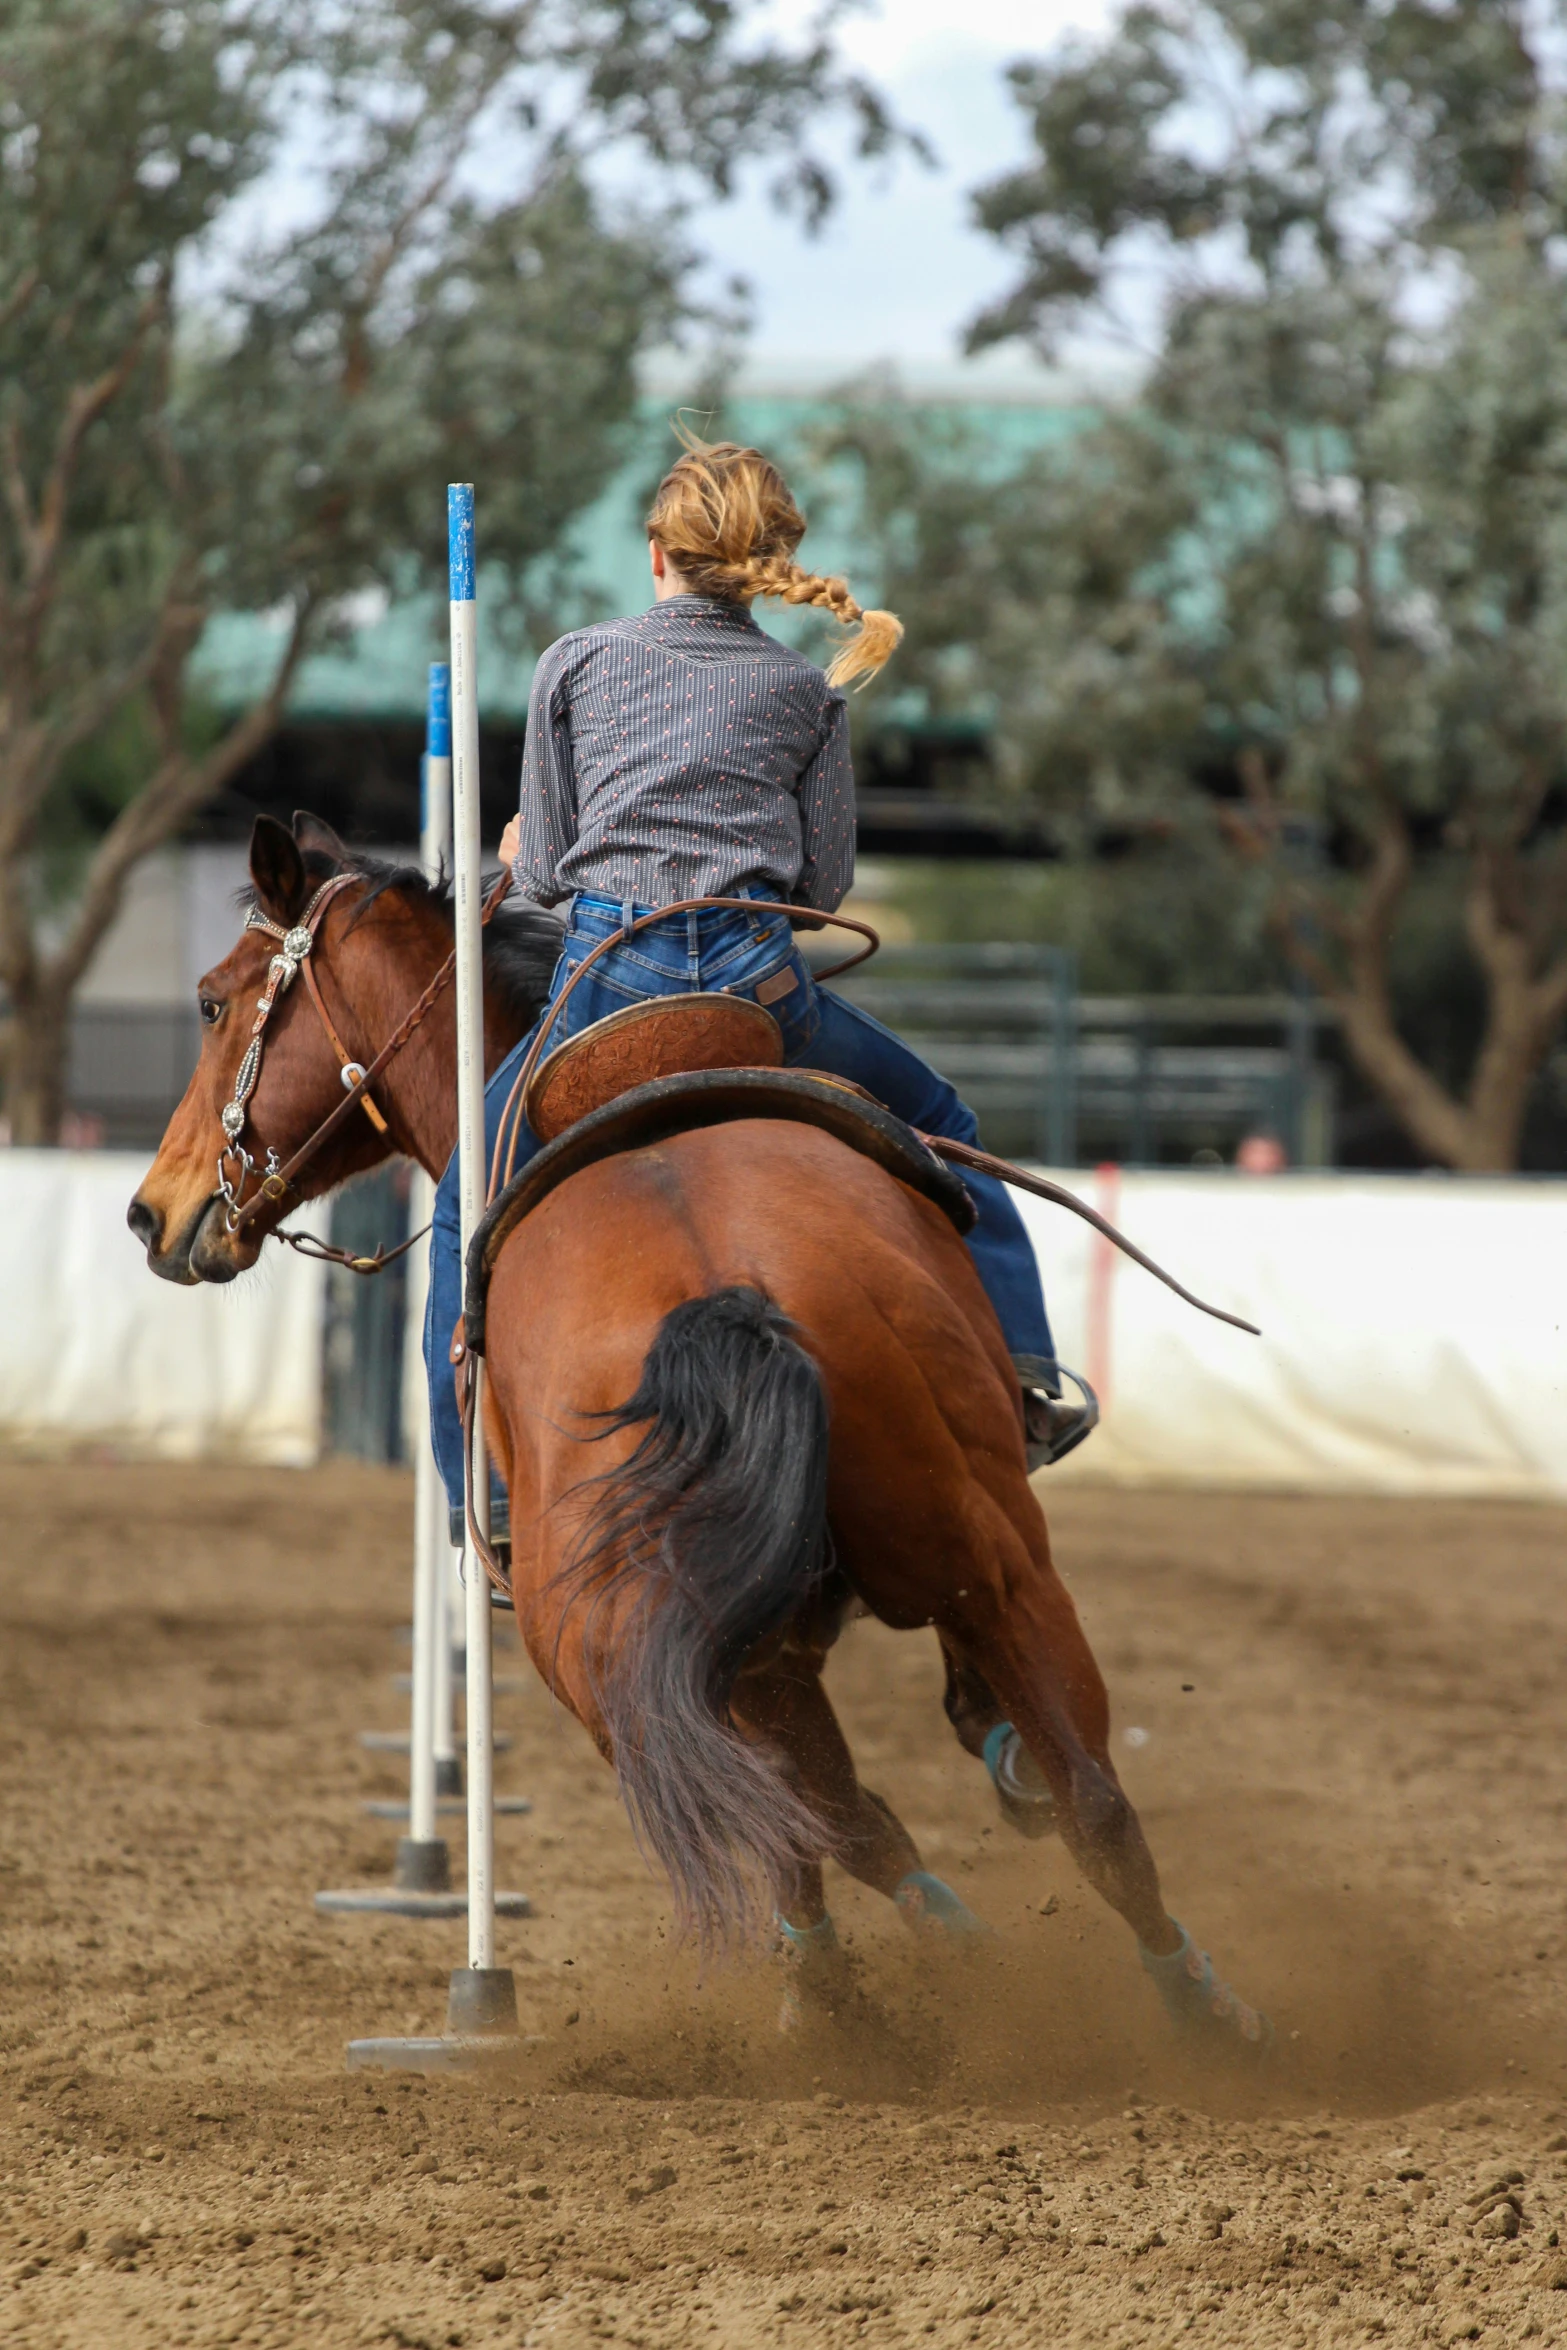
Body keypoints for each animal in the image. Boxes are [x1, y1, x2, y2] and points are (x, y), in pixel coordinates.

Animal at [128, 817, 1268, 2049]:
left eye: (212, 1001)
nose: (152, 1213)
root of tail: (717, 1286)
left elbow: (845, 1822)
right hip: (984, 1554)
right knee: (1085, 1800)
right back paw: (1194, 2006)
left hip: (617, 1658)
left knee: (817, 1819)